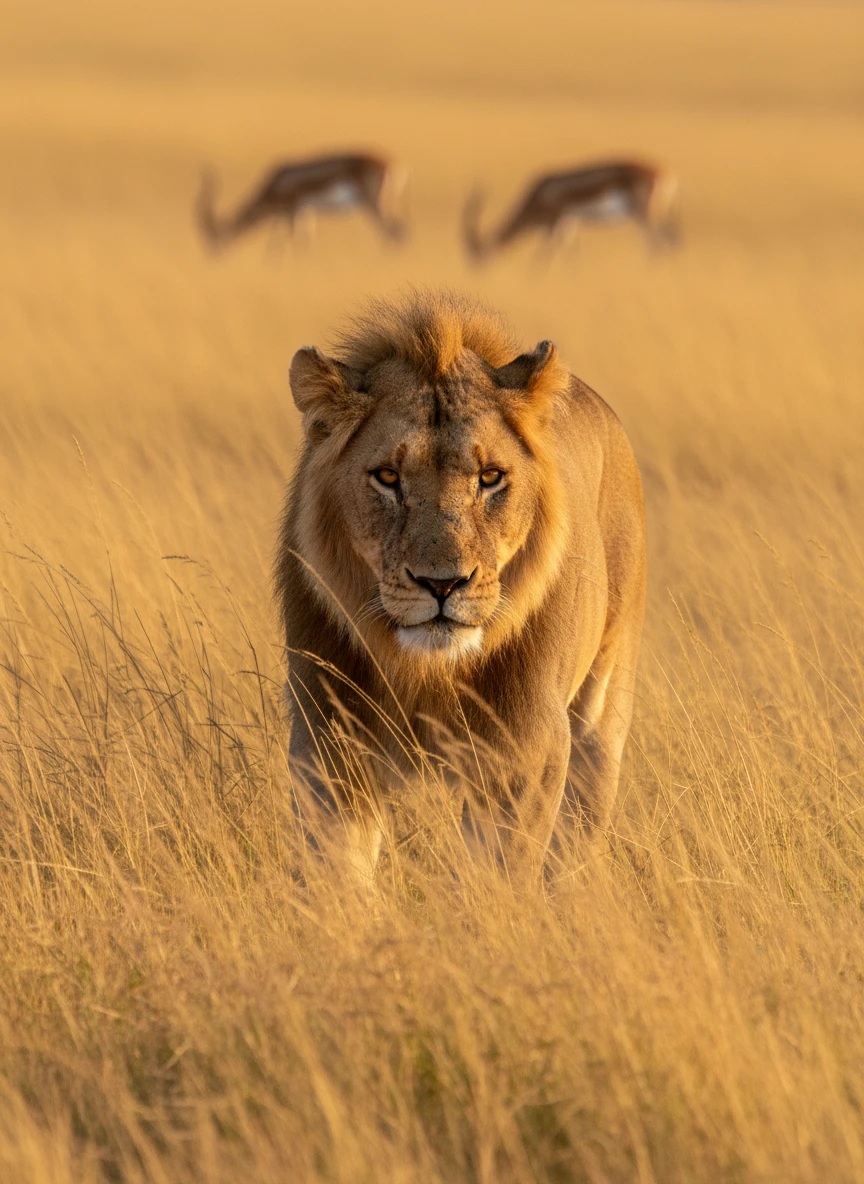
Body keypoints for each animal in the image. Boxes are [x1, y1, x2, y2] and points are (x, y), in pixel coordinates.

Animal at [276, 291, 646, 884]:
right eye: (387, 477)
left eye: (490, 478)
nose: (442, 583)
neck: (426, 673)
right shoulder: (328, 736)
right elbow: (339, 872)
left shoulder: (523, 752)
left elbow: (501, 873)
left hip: (600, 717)